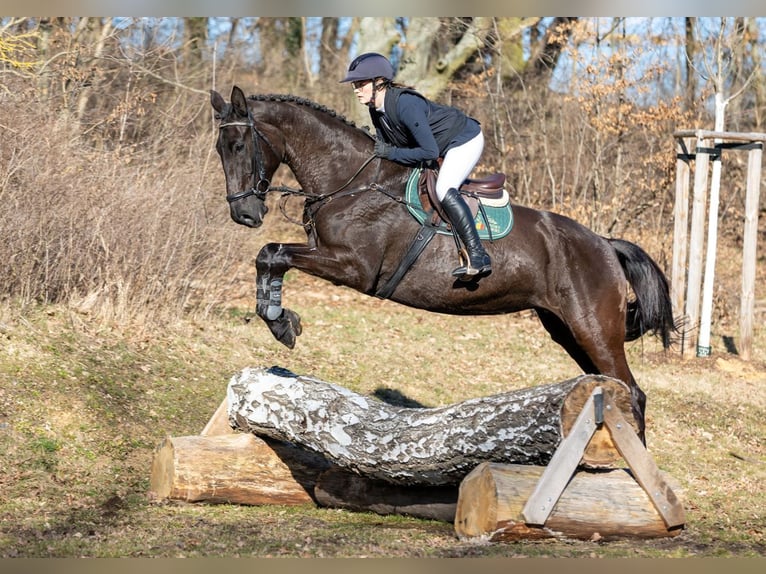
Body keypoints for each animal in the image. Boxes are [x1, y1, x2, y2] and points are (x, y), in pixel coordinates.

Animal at [210, 85, 678, 442]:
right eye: (219, 148)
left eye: (239, 145)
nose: (244, 214)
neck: (351, 181)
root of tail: (604, 244)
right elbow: (269, 255)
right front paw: (279, 319)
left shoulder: (353, 269)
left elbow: (274, 253)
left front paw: (280, 322)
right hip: (566, 330)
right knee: (613, 387)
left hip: (593, 329)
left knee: (633, 392)